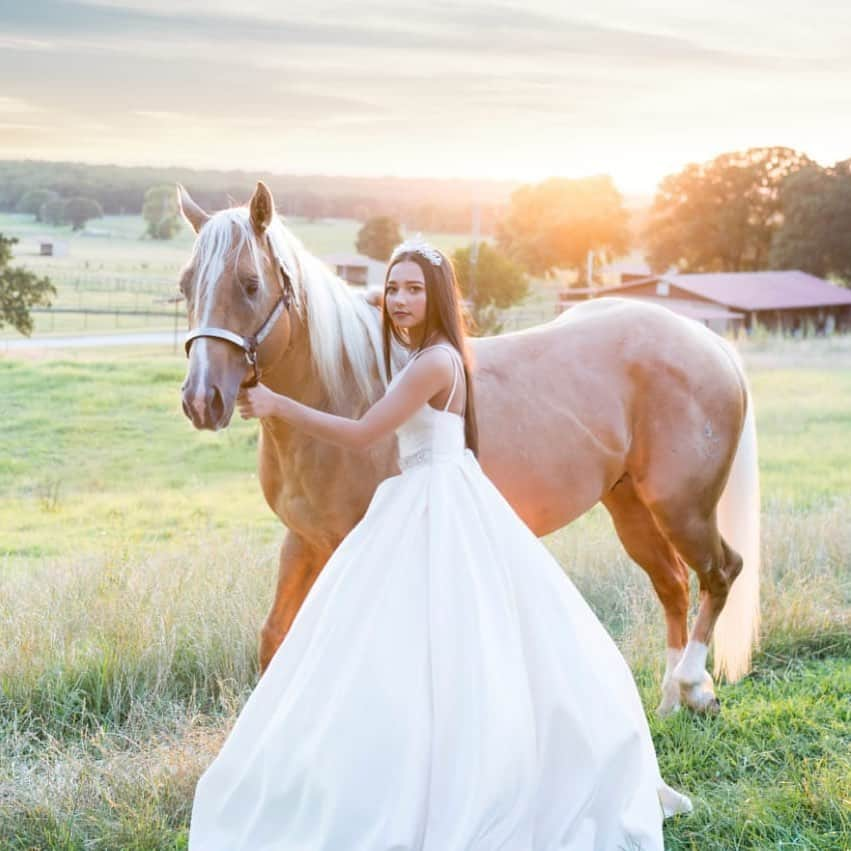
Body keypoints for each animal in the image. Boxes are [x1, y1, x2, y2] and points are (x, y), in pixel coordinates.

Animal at [175, 183, 760, 716]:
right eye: (185, 286)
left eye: (250, 284)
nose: (202, 399)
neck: (341, 392)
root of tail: (709, 343)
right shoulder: (303, 541)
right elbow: (275, 638)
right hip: (630, 506)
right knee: (673, 585)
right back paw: (669, 701)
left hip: (681, 507)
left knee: (719, 573)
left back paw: (693, 686)